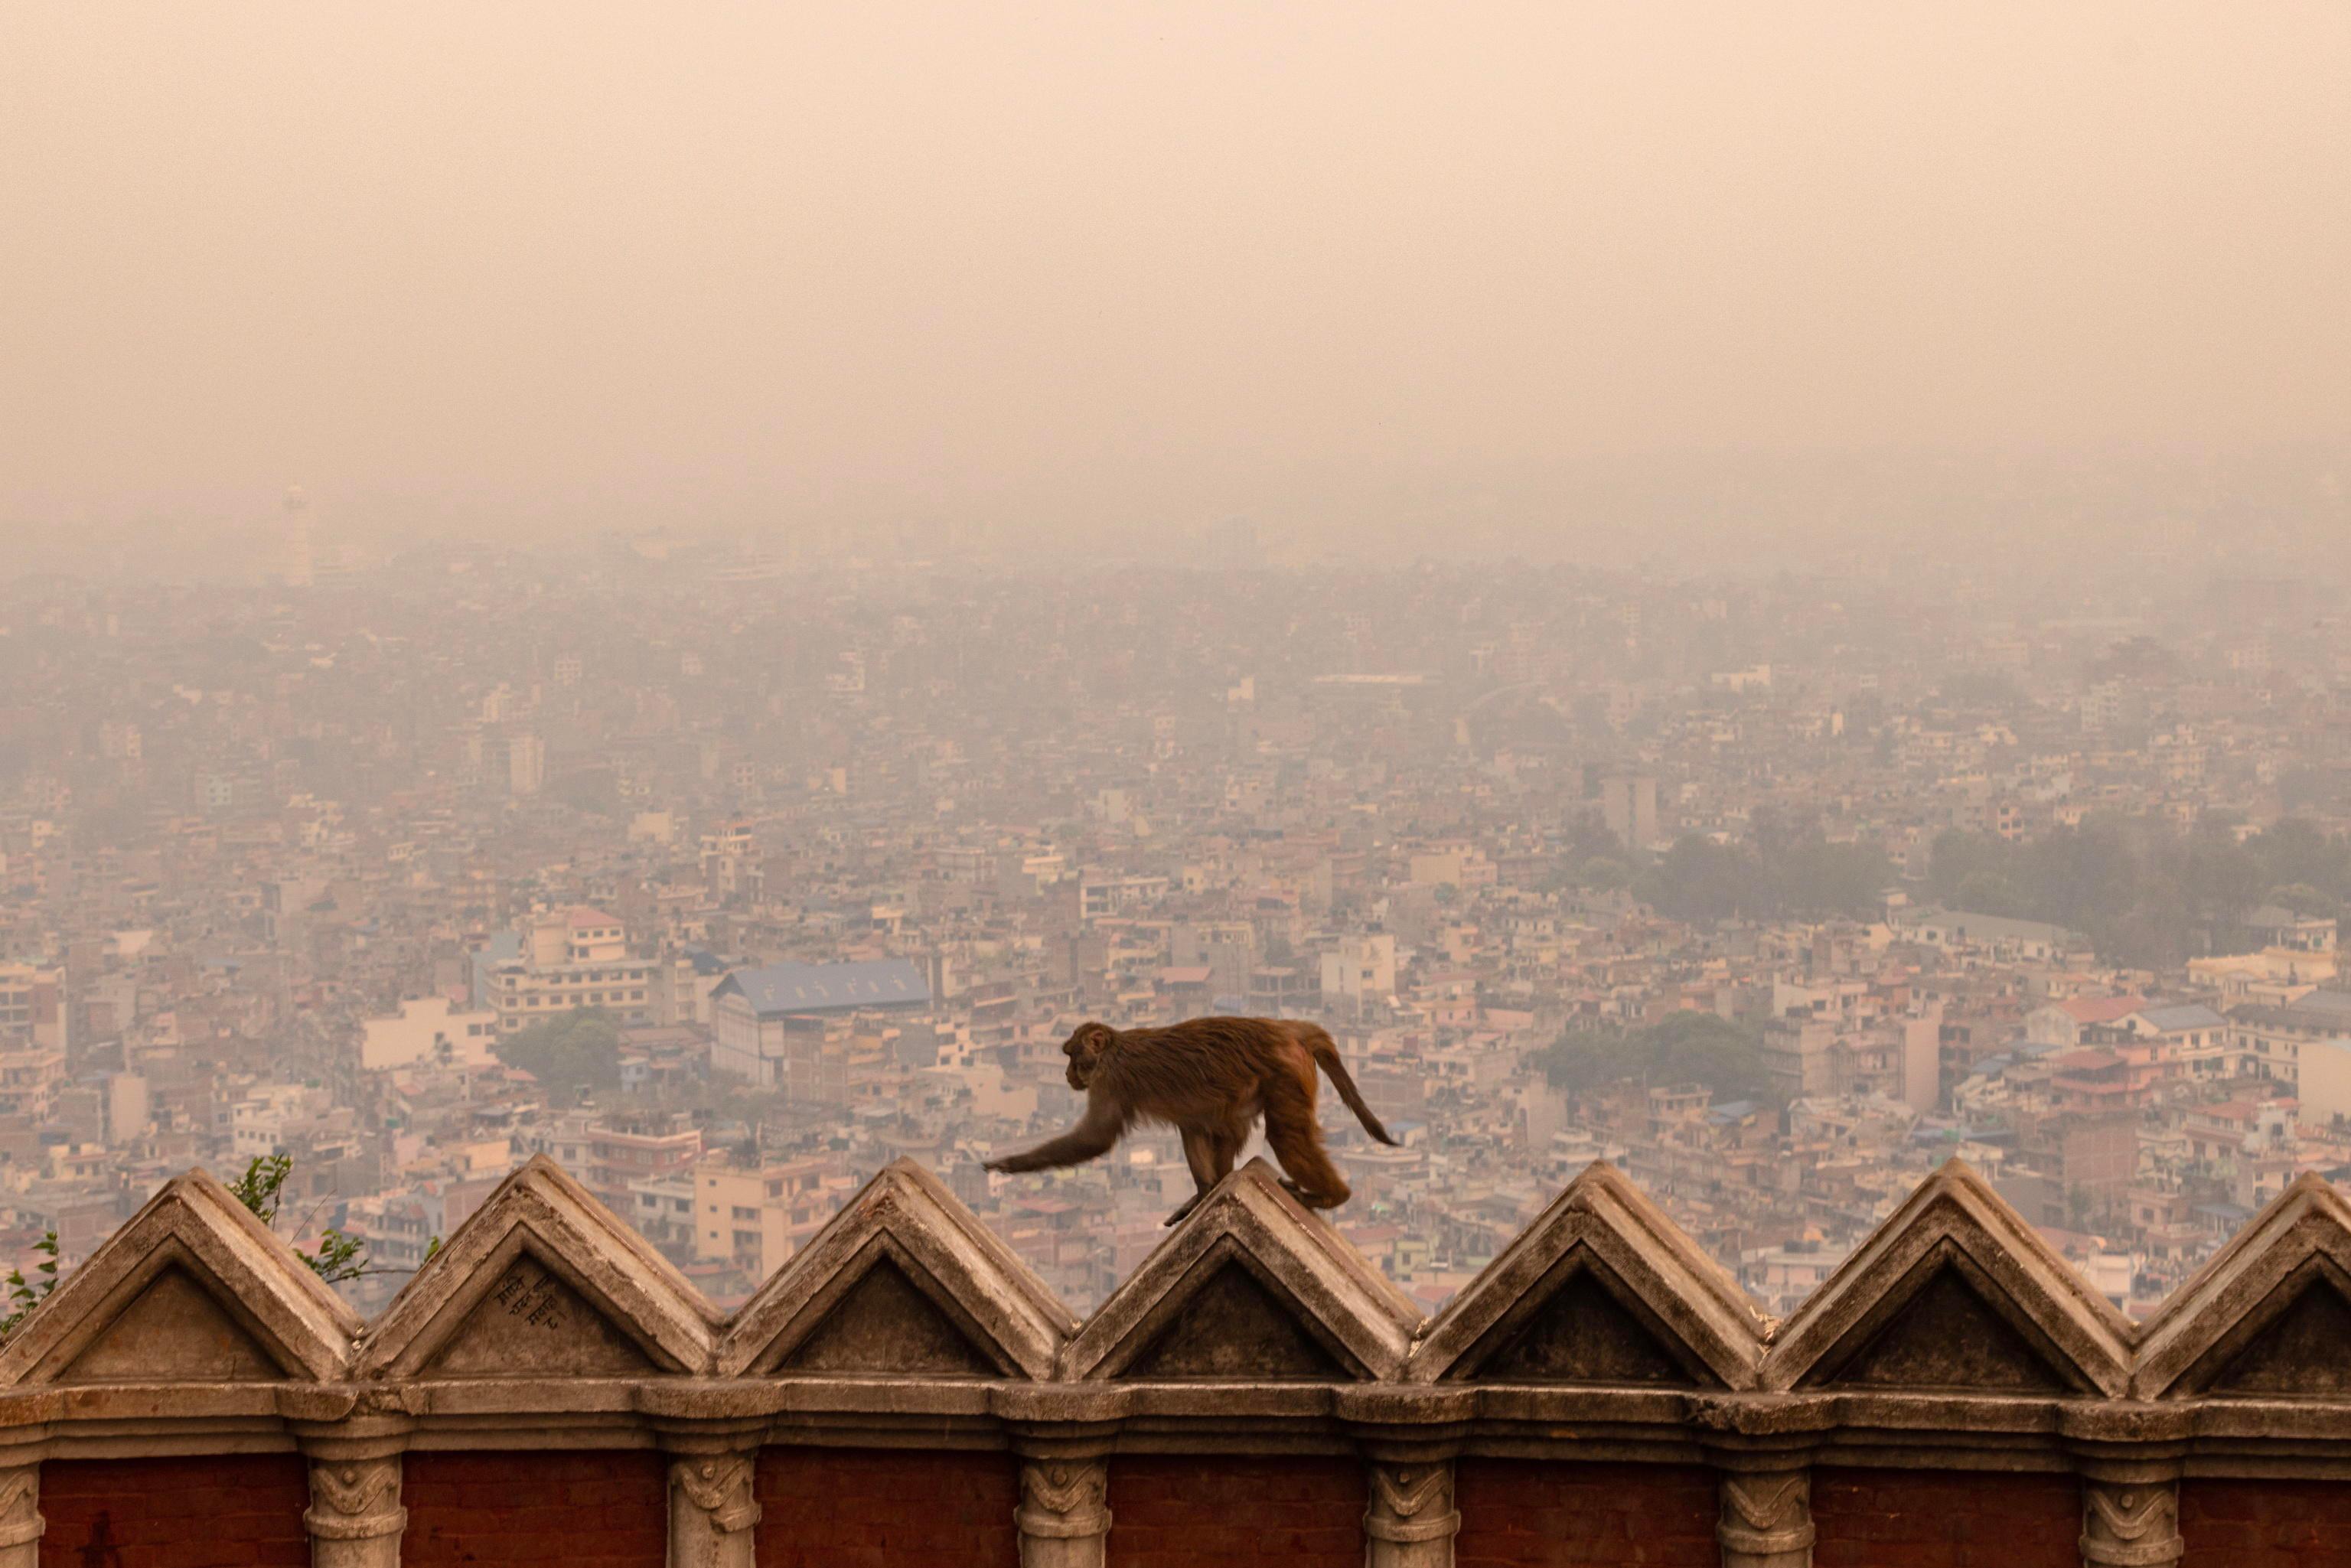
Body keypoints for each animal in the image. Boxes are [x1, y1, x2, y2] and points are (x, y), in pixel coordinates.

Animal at [977, 1020, 1391, 1222]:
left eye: (1070, 1055)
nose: (1066, 1074)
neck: (1113, 1050)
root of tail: (1290, 1030)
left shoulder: (1110, 1079)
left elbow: (1096, 1138)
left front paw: (1011, 1163)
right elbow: (1196, 1126)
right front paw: (1204, 1190)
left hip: (1286, 1074)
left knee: (1285, 1134)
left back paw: (1334, 1195)